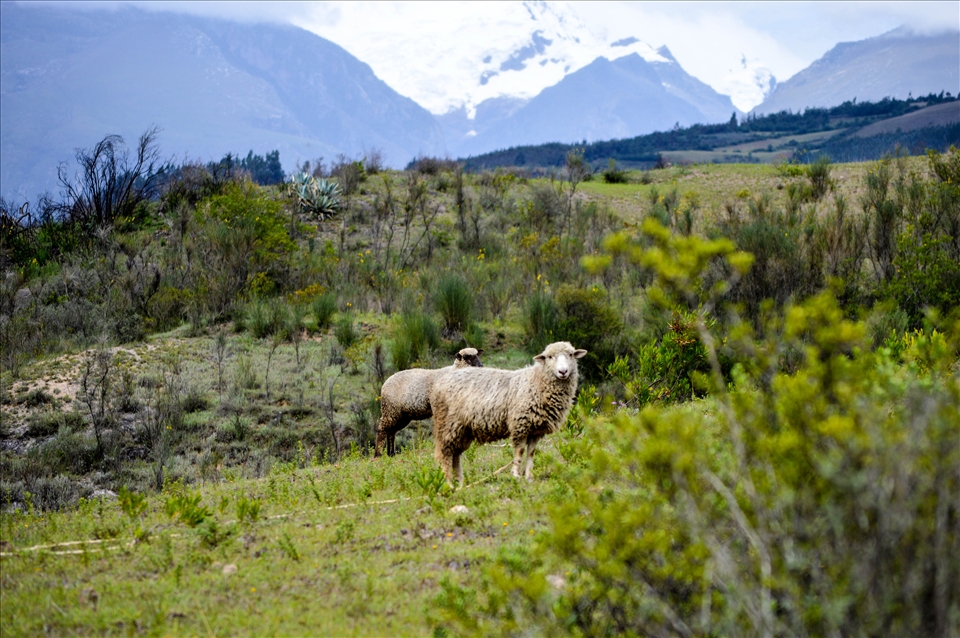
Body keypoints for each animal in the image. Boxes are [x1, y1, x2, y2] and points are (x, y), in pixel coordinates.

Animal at [430, 341, 586, 488]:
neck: (537, 381)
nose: (563, 371)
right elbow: (520, 451)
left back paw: (460, 482)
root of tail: (438, 383)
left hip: (463, 430)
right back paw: (449, 483)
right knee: (443, 453)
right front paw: (516, 475)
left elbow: (531, 453)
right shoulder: (520, 424)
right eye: (550, 357)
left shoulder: (535, 430)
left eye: (571, 355)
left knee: (455, 454)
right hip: (447, 423)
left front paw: (529, 477)